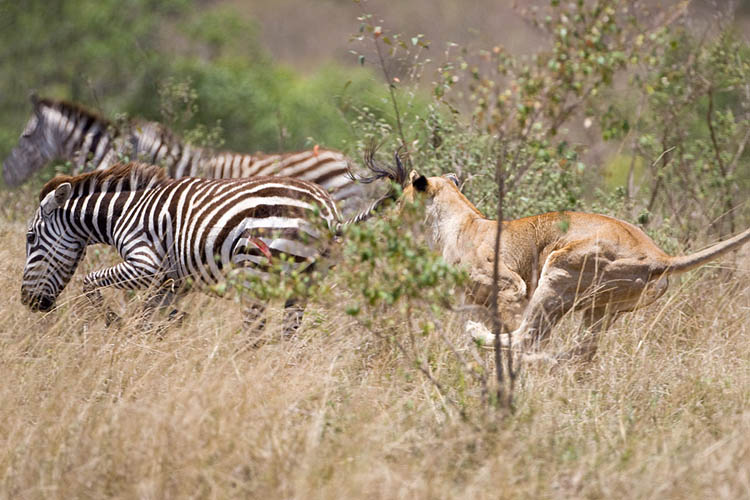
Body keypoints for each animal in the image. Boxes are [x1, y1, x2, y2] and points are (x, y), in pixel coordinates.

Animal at [20, 152, 406, 333]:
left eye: (30, 237)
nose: (28, 303)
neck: (122, 213)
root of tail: (328, 213)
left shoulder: (146, 264)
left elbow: (89, 282)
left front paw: (113, 321)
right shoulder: (172, 282)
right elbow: (149, 320)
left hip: (256, 271)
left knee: (255, 334)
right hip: (307, 279)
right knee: (287, 335)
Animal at [396, 169, 750, 361]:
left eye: (399, 199)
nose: (390, 215)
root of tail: (660, 255)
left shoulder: (512, 284)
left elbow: (512, 320)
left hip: (558, 270)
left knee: (527, 338)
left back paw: (482, 338)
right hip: (603, 309)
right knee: (582, 352)